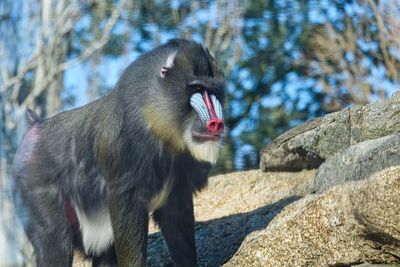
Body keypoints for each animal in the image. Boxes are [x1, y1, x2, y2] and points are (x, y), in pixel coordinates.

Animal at [12, 39, 225, 267]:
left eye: (213, 90)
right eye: (197, 88)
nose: (216, 123)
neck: (159, 125)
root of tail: (36, 127)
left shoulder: (179, 187)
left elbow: (177, 220)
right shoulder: (126, 180)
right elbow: (128, 218)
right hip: (37, 189)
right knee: (55, 242)